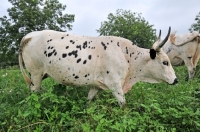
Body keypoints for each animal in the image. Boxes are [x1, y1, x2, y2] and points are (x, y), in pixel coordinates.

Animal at [18, 27, 177, 106]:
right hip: (36, 75)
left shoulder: (96, 85)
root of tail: (28, 36)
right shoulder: (115, 85)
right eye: (165, 62)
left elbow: (88, 101)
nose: (176, 80)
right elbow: (123, 105)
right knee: (34, 94)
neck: (128, 56)